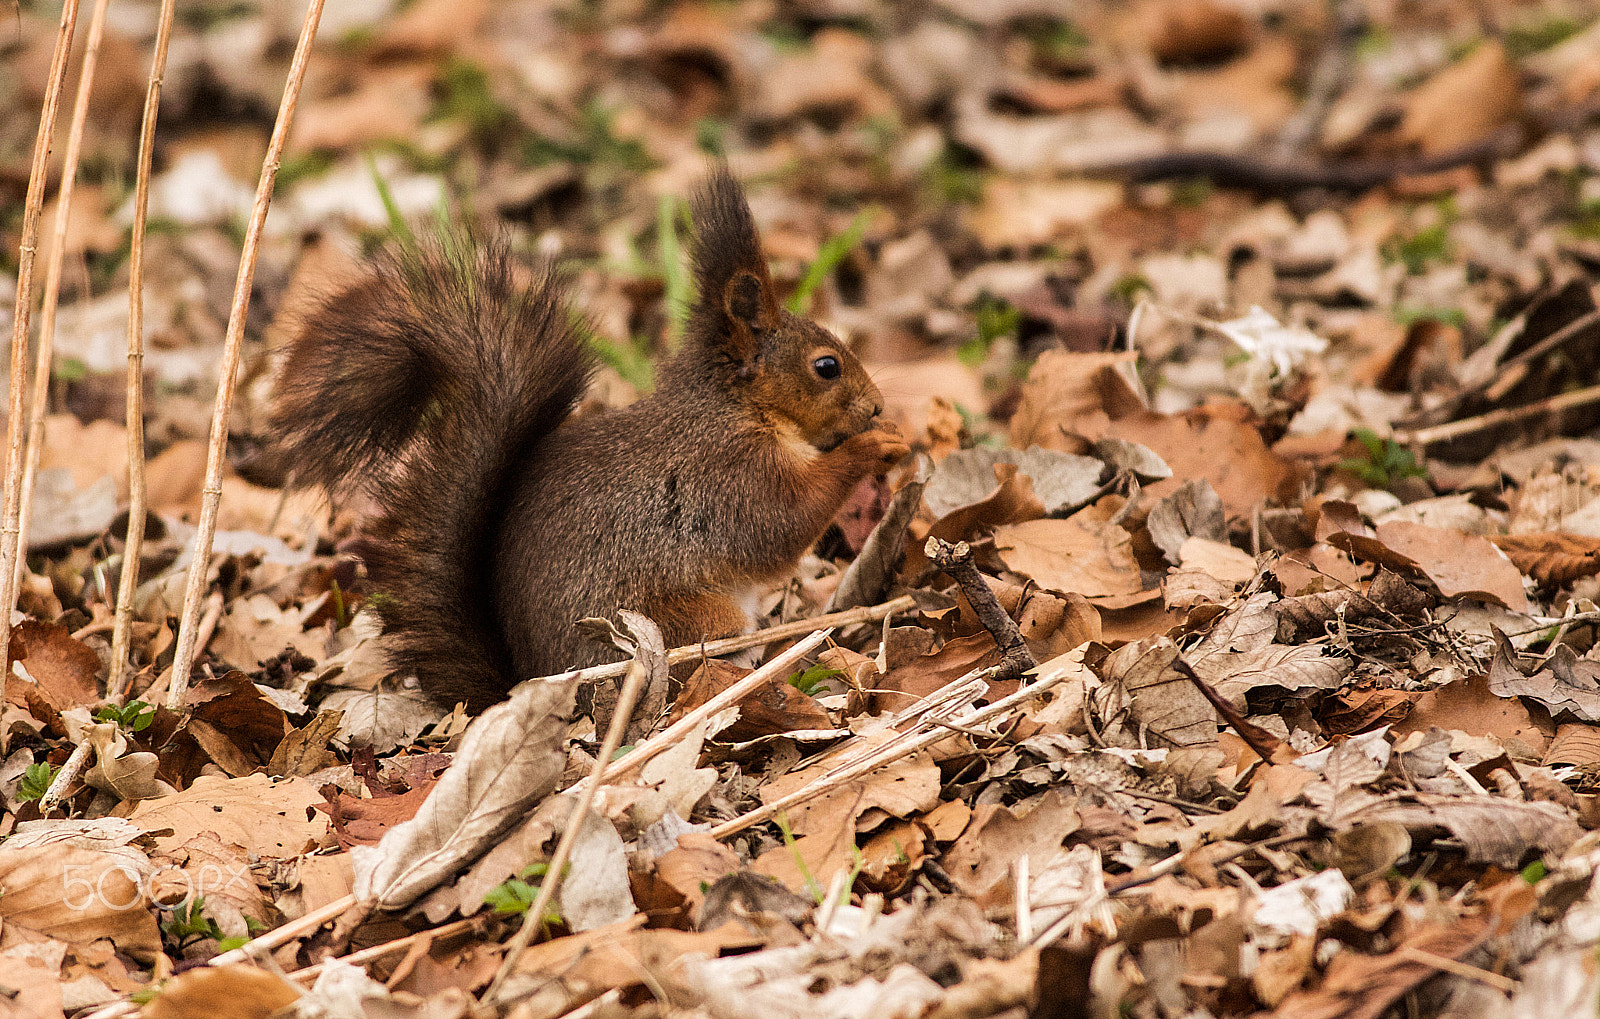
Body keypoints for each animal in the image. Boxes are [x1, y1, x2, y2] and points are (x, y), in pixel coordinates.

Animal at [268, 171, 908, 710]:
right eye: (826, 367)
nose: (878, 405)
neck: (734, 407)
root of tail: (526, 684)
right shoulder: (729, 474)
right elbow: (782, 524)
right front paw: (876, 446)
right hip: (682, 623)